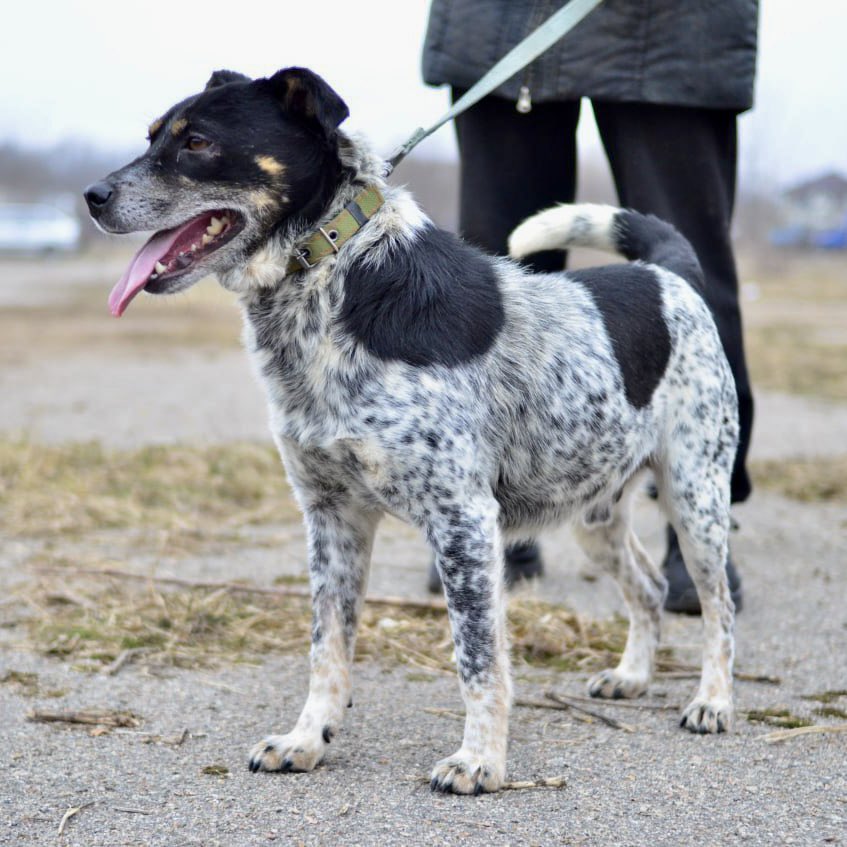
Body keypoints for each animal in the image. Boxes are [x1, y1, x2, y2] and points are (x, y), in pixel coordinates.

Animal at [83, 64, 740, 796]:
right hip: (594, 512)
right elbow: (327, 647)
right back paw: (631, 676)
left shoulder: (463, 520)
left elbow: (477, 657)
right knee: (647, 587)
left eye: (196, 141)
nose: (93, 196)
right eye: (152, 136)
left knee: (716, 607)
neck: (330, 284)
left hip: (696, 498)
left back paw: (712, 701)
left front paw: (480, 761)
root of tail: (666, 274)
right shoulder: (332, 519)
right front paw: (306, 739)